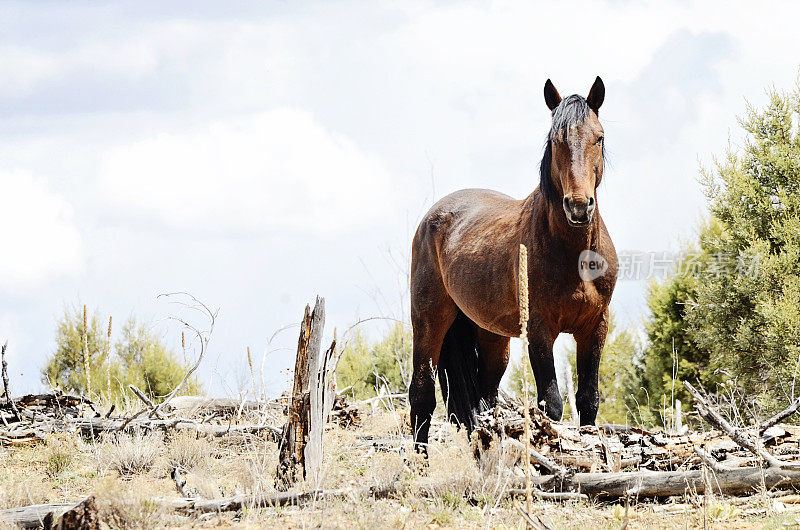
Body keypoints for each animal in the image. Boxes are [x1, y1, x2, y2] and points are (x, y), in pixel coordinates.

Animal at [410, 77, 616, 450]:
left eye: (599, 137)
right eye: (556, 140)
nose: (579, 207)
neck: (574, 256)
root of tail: (433, 218)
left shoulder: (595, 326)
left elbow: (588, 399)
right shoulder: (539, 329)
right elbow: (552, 404)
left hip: (492, 339)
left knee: (483, 403)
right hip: (429, 320)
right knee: (421, 396)